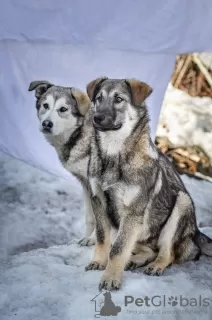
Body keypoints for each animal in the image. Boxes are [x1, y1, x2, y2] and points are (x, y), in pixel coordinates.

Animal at [85, 77, 212, 290]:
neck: (114, 154)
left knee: (168, 253)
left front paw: (110, 278)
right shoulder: (99, 202)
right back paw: (134, 260)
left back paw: (155, 266)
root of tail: (195, 235)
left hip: (181, 203)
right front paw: (98, 262)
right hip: (139, 230)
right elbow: (103, 239)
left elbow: (117, 249)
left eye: (119, 99)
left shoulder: (132, 212)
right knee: (148, 249)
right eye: (99, 98)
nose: (97, 118)